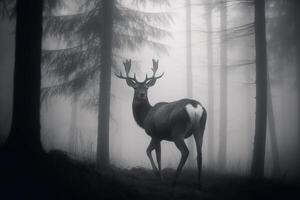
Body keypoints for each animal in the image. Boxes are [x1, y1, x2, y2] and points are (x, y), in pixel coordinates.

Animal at [115, 58, 206, 188]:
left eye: (146, 87)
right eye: (135, 87)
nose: (142, 94)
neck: (144, 117)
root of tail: (194, 107)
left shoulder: (155, 134)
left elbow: (153, 153)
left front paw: (159, 175)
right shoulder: (160, 137)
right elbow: (153, 152)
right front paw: (159, 174)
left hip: (178, 130)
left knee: (185, 151)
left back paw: (174, 180)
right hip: (200, 128)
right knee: (200, 154)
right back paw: (199, 184)